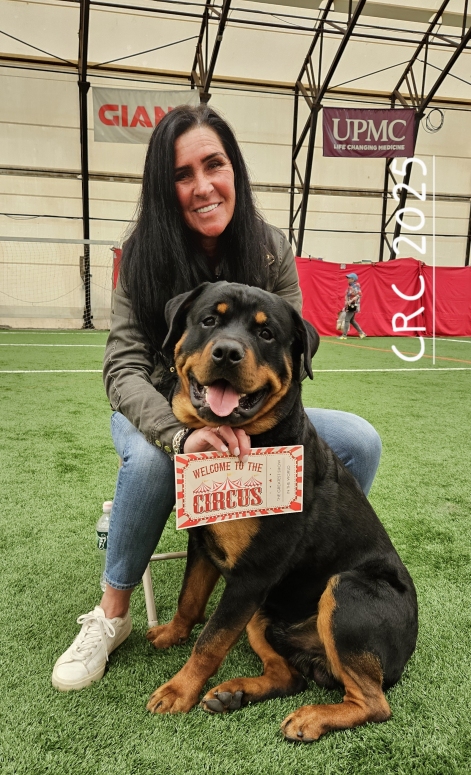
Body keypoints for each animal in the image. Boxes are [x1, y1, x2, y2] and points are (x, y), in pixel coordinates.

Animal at [145, 281, 418, 742]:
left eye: (266, 334)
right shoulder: (203, 543)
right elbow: (189, 600)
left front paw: (177, 691)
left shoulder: (253, 573)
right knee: (290, 676)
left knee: (373, 703)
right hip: (262, 614)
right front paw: (171, 634)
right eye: (209, 320)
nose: (227, 352)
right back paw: (234, 693)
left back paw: (310, 717)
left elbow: (211, 640)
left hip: (344, 589)